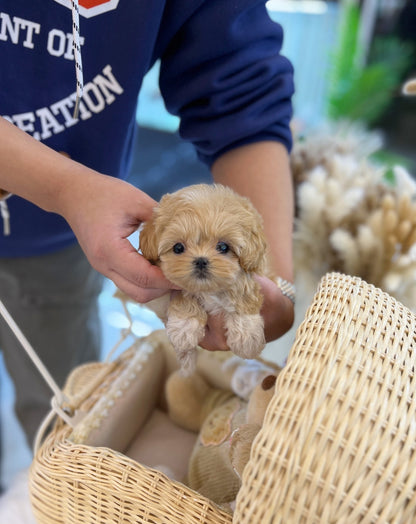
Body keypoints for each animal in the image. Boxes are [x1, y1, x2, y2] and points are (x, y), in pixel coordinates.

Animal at [140, 184, 270, 372]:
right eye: (178, 248)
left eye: (223, 247)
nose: (201, 261)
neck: (208, 290)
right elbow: (184, 294)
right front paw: (184, 328)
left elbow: (243, 293)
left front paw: (247, 338)